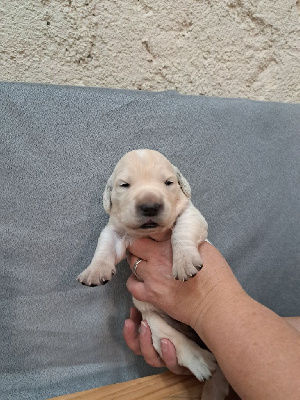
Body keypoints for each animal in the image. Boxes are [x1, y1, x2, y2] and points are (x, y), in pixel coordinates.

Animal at [77, 150, 227, 400]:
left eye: (168, 183)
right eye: (124, 185)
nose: (149, 206)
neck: (151, 233)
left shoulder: (190, 213)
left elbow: (182, 231)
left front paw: (184, 262)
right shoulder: (114, 230)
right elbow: (104, 246)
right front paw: (94, 270)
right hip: (152, 320)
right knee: (177, 342)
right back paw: (203, 364)